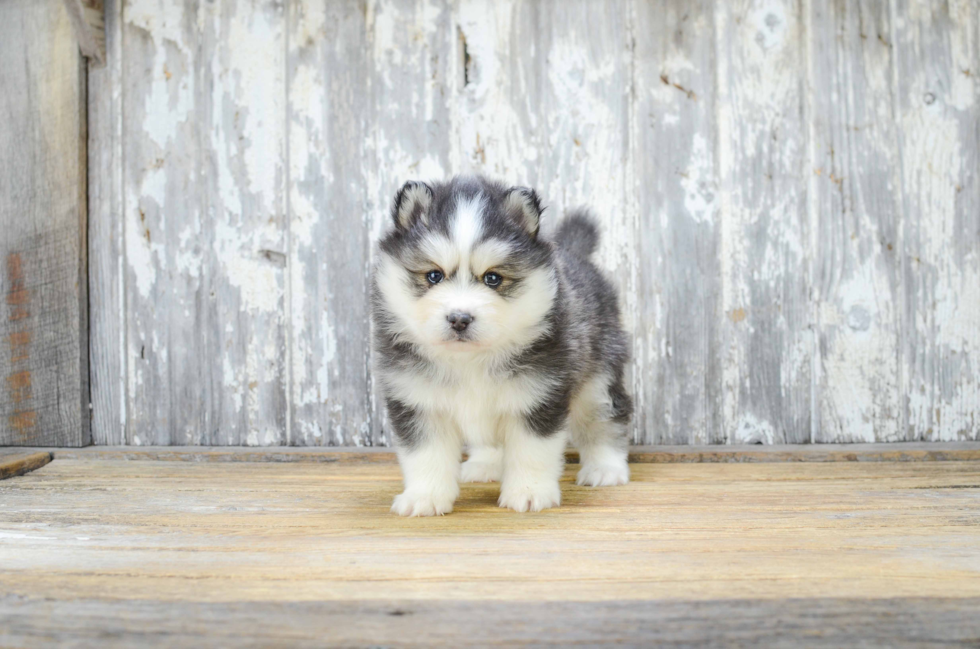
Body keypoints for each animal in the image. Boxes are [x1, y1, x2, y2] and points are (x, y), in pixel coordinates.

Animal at [372, 173, 632, 516]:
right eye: (433, 275)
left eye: (493, 278)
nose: (459, 318)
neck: (469, 360)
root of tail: (575, 255)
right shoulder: (418, 399)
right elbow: (426, 456)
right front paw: (424, 496)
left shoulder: (538, 395)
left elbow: (531, 452)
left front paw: (529, 492)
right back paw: (486, 465)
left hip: (598, 379)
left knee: (605, 420)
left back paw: (605, 468)